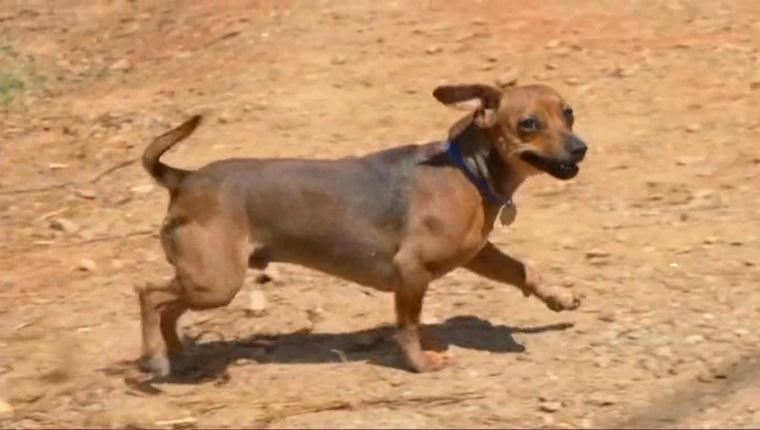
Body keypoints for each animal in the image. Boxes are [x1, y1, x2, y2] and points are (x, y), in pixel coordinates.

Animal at [137, 81, 588, 376]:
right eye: (529, 124)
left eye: (568, 113)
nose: (580, 148)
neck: (466, 172)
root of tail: (183, 178)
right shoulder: (411, 271)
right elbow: (408, 327)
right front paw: (420, 363)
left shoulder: (478, 254)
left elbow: (522, 269)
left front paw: (558, 296)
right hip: (216, 282)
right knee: (149, 294)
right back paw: (156, 358)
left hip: (206, 282)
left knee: (167, 307)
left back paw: (176, 355)